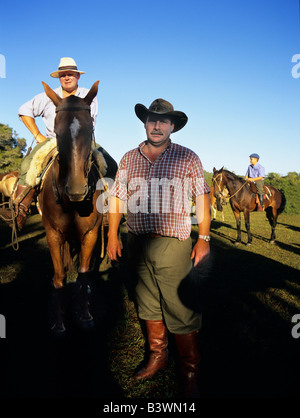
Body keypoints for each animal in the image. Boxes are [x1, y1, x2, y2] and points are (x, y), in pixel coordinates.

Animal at [38, 81, 103, 334]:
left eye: (90, 129)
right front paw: (58, 322)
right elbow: (59, 277)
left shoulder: (90, 233)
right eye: (57, 133)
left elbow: (83, 275)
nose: (77, 190)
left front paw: (85, 315)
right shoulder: (53, 235)